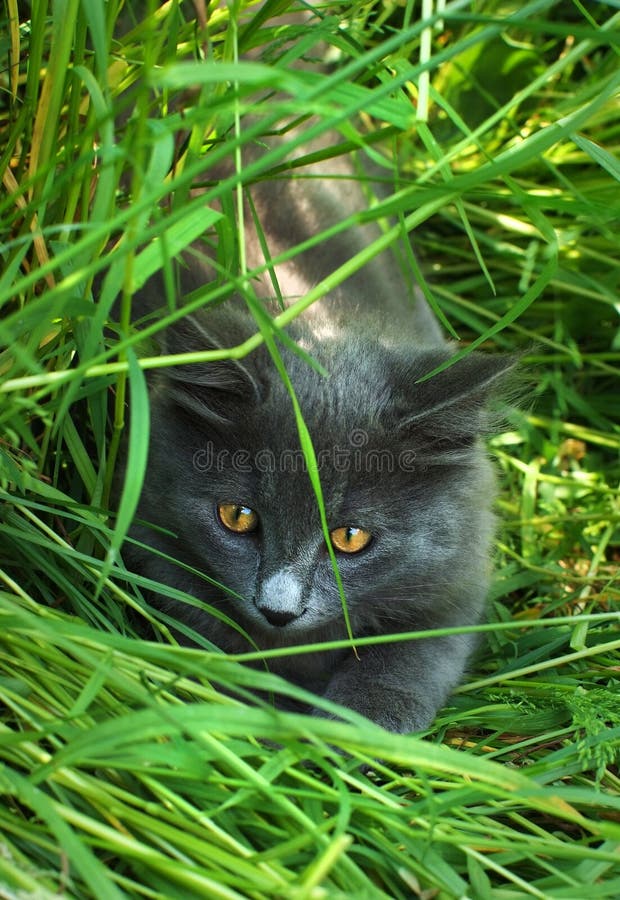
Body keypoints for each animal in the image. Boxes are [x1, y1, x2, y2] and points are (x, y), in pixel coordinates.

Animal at [122, 126, 512, 732]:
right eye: (236, 517)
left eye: (350, 537)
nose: (279, 610)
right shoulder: (155, 539)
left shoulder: (453, 581)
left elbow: (406, 667)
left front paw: (351, 732)